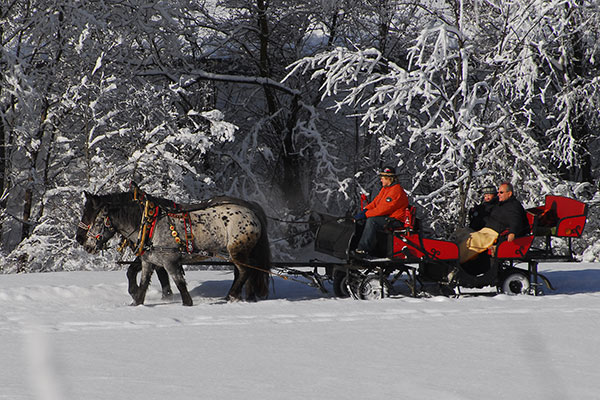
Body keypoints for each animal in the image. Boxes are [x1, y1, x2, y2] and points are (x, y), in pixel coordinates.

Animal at [75, 188, 272, 306]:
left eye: (94, 218)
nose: (82, 241)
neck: (149, 225)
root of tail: (252, 212)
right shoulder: (149, 261)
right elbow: (144, 283)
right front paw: (137, 301)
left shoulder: (170, 262)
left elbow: (179, 284)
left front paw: (182, 302)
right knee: (248, 271)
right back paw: (244, 297)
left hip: (237, 251)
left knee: (245, 271)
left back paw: (232, 295)